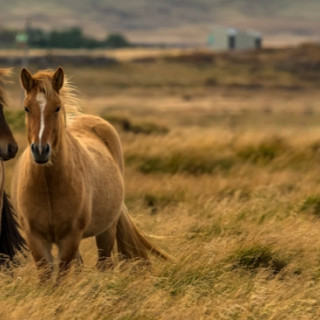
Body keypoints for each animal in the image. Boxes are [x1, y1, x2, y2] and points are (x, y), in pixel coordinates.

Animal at [11, 67, 168, 280]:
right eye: (27, 108)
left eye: (57, 107)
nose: (41, 150)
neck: (48, 186)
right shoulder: (35, 238)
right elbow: (47, 279)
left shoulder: (70, 238)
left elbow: (60, 278)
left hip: (106, 231)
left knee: (104, 264)